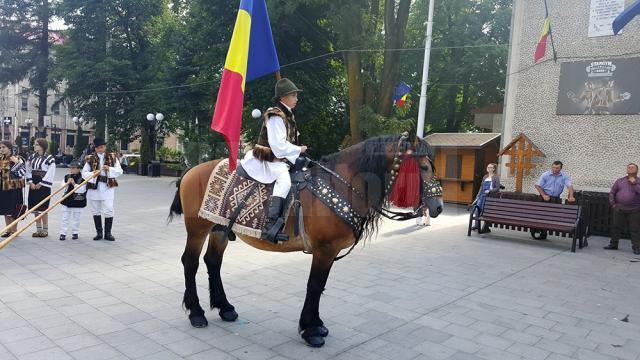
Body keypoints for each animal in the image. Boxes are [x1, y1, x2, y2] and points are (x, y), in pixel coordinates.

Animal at [168, 134, 442, 348]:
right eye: (424, 167)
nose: (438, 206)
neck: (341, 184)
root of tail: (191, 170)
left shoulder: (329, 252)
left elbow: (320, 287)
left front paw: (316, 324)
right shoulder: (324, 250)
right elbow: (314, 286)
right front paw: (310, 330)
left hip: (219, 229)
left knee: (213, 261)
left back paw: (224, 307)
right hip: (198, 229)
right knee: (190, 263)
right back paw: (196, 313)